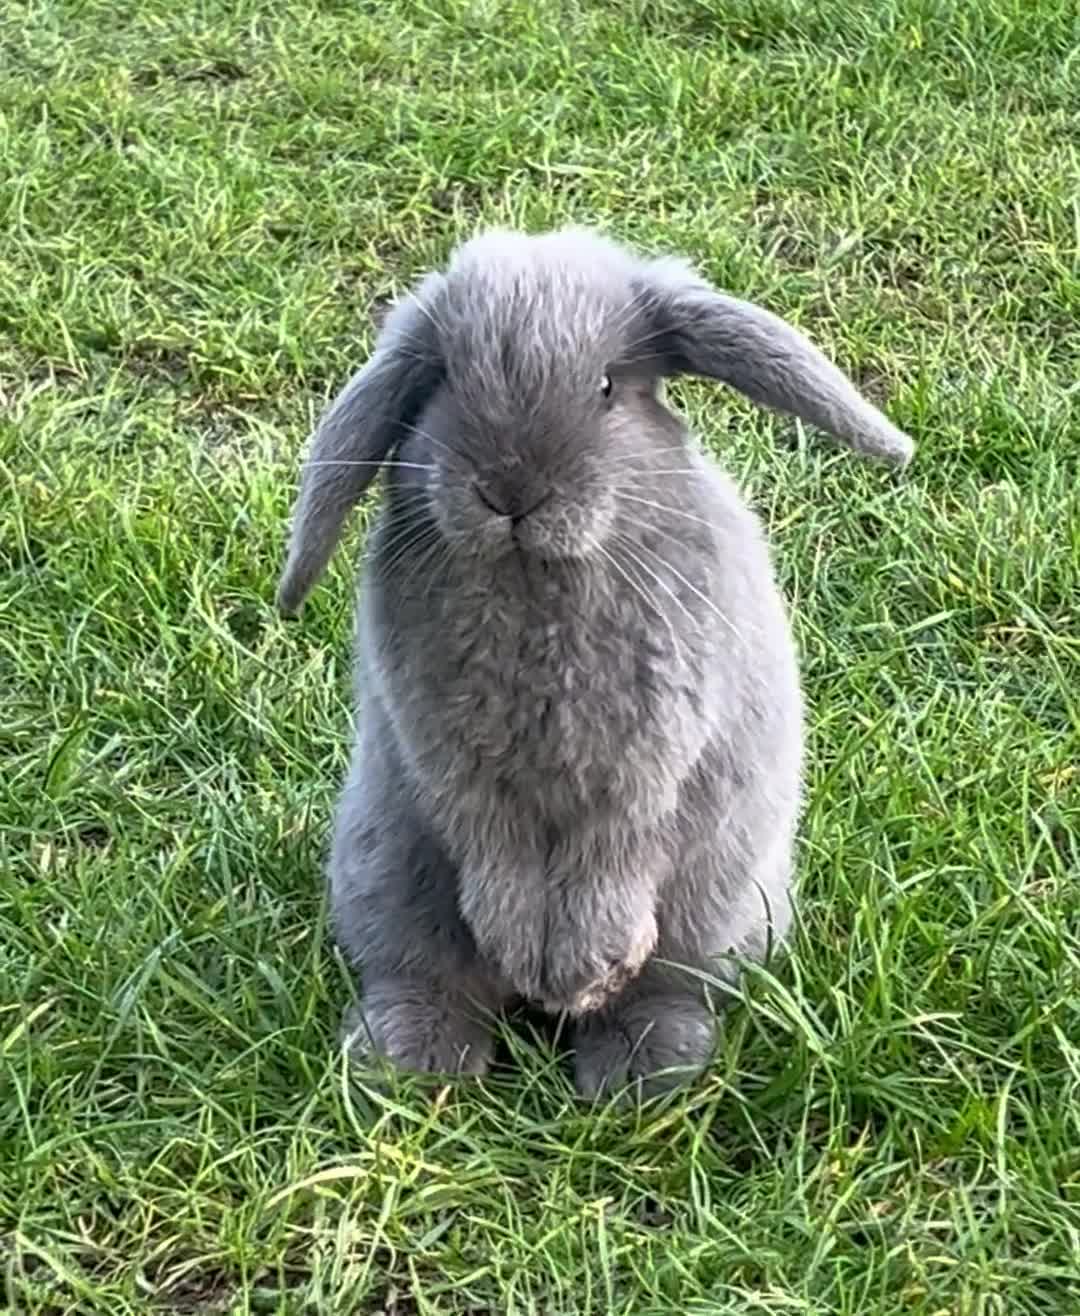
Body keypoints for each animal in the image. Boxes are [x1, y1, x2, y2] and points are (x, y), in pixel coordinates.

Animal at [276, 227, 913, 1101]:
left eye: (608, 386)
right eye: (443, 380)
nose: (510, 493)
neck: (536, 577)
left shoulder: (645, 767)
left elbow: (613, 856)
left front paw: (583, 970)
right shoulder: (455, 766)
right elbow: (497, 851)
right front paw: (526, 952)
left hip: (716, 903)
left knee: (670, 984)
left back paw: (641, 1072)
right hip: (386, 870)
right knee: (430, 977)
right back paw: (411, 1065)